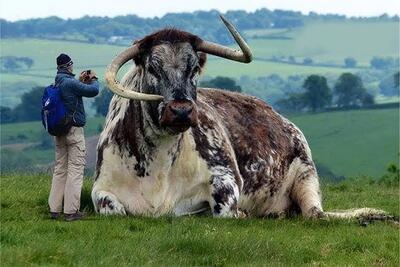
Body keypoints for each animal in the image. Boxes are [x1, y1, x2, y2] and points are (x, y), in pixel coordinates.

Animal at [91, 15, 390, 223]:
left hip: (306, 173)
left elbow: (223, 211)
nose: (181, 110)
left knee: (317, 214)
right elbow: (111, 208)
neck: (159, 165)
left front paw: (239, 214)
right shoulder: (100, 189)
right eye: (152, 67)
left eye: (194, 68)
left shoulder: (227, 177)